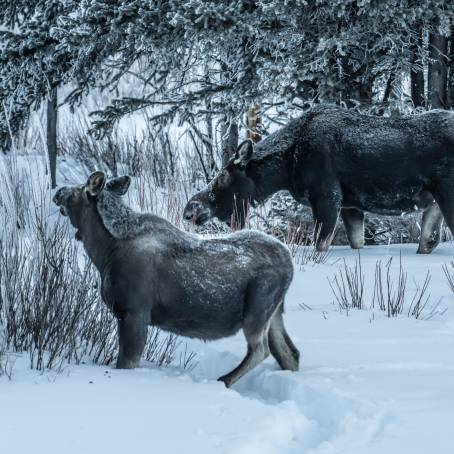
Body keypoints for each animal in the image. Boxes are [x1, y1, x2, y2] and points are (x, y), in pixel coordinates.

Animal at [52, 172, 298, 388]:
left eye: (78, 190)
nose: (58, 192)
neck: (104, 252)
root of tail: (289, 263)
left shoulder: (134, 312)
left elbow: (126, 362)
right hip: (274, 312)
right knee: (290, 354)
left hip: (257, 309)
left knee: (260, 349)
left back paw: (224, 379)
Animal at [184, 104, 454, 254]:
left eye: (222, 176)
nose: (189, 210)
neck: (286, 166)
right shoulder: (350, 205)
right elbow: (356, 242)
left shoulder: (326, 196)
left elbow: (319, 245)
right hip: (433, 202)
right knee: (429, 240)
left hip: (447, 193)